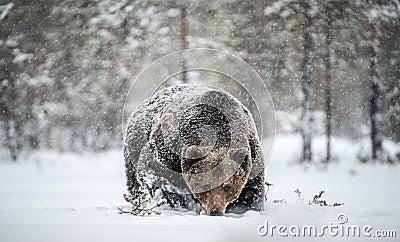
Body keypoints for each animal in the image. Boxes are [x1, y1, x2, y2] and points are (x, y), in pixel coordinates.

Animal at [123, 84, 264, 216]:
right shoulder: (169, 148)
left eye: (227, 187)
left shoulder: (252, 154)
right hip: (134, 147)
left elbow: (252, 192)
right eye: (205, 185)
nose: (216, 212)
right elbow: (158, 175)